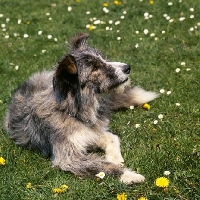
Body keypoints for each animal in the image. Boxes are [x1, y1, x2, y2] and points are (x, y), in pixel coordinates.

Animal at [3, 32, 159, 184]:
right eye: (95, 68)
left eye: (103, 59)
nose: (127, 67)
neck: (74, 112)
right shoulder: (69, 157)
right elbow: (101, 166)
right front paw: (128, 175)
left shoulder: (91, 132)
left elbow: (112, 137)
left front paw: (116, 159)